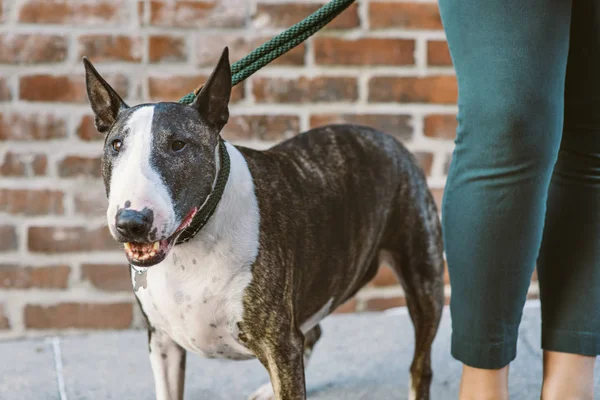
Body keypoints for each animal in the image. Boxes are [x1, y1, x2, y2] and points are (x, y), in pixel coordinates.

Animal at [82, 47, 442, 400]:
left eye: (178, 144)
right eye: (116, 145)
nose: (131, 222)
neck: (192, 245)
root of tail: (388, 139)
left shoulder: (279, 344)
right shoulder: (161, 341)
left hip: (424, 281)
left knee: (421, 366)